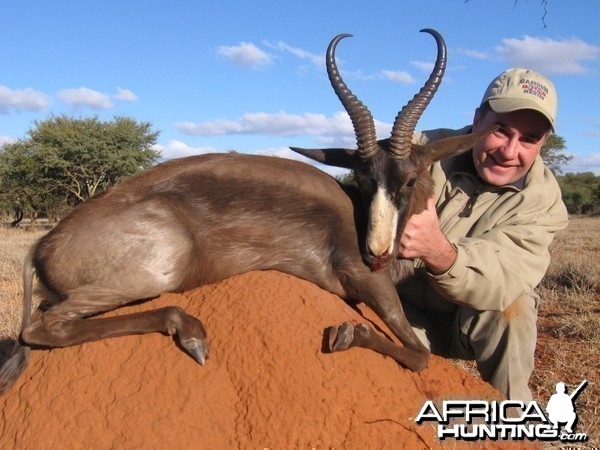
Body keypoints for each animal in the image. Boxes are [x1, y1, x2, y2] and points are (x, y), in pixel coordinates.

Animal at [0, 29, 494, 394]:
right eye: (363, 178)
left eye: (408, 180)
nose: (377, 252)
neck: (355, 216)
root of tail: (44, 244)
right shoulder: (363, 280)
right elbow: (420, 355)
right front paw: (346, 334)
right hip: (162, 268)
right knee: (43, 327)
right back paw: (192, 333)